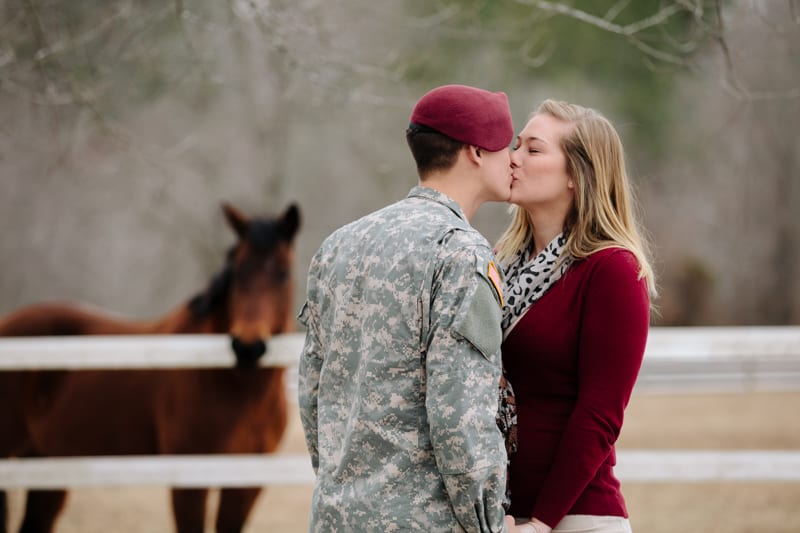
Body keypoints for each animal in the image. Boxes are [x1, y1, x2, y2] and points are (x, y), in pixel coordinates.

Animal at [0, 203, 300, 532]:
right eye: (238, 273)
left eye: (283, 273)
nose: (247, 347)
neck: (228, 383)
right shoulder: (189, 480)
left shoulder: (245, 485)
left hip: (48, 462)